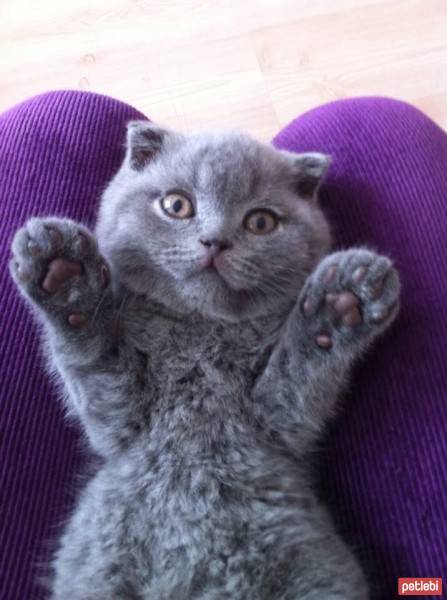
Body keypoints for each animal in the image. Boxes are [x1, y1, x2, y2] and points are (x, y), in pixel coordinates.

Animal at [10, 119, 400, 596]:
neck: (202, 331)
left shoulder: (278, 422)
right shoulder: (119, 419)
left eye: (261, 221)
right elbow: (92, 357)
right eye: (177, 205)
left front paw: (336, 305)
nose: (215, 241)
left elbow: (298, 375)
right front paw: (66, 279)